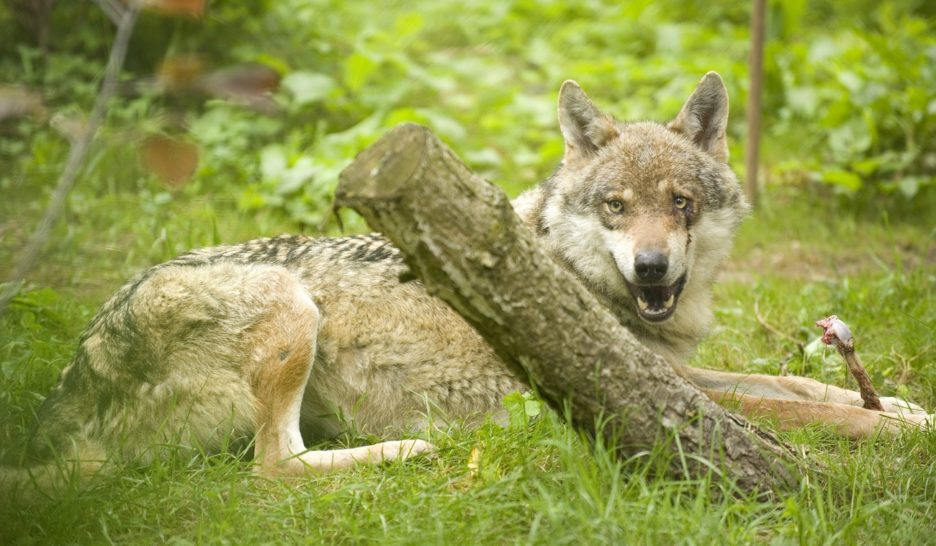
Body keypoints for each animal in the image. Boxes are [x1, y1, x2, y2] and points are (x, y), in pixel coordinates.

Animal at [8, 72, 930, 488]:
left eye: (681, 203)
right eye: (615, 205)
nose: (652, 266)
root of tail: (76, 373)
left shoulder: (680, 371)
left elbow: (800, 383)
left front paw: (904, 405)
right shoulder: (659, 390)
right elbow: (805, 411)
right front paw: (900, 433)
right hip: (291, 306)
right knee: (275, 467)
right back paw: (411, 449)